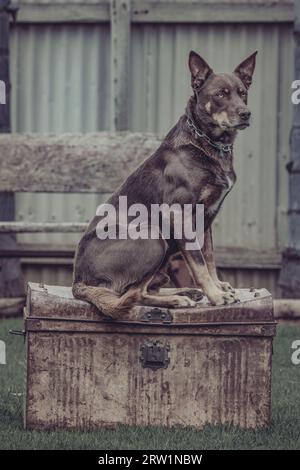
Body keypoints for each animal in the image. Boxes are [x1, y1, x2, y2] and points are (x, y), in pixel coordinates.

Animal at [72, 49, 255, 318]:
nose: (245, 114)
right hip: (153, 237)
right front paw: (216, 296)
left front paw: (218, 287)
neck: (206, 142)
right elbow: (198, 263)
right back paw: (178, 300)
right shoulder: (179, 214)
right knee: (132, 293)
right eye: (220, 94)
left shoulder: (207, 216)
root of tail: (78, 282)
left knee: (143, 288)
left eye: (243, 92)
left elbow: (209, 257)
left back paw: (186, 293)